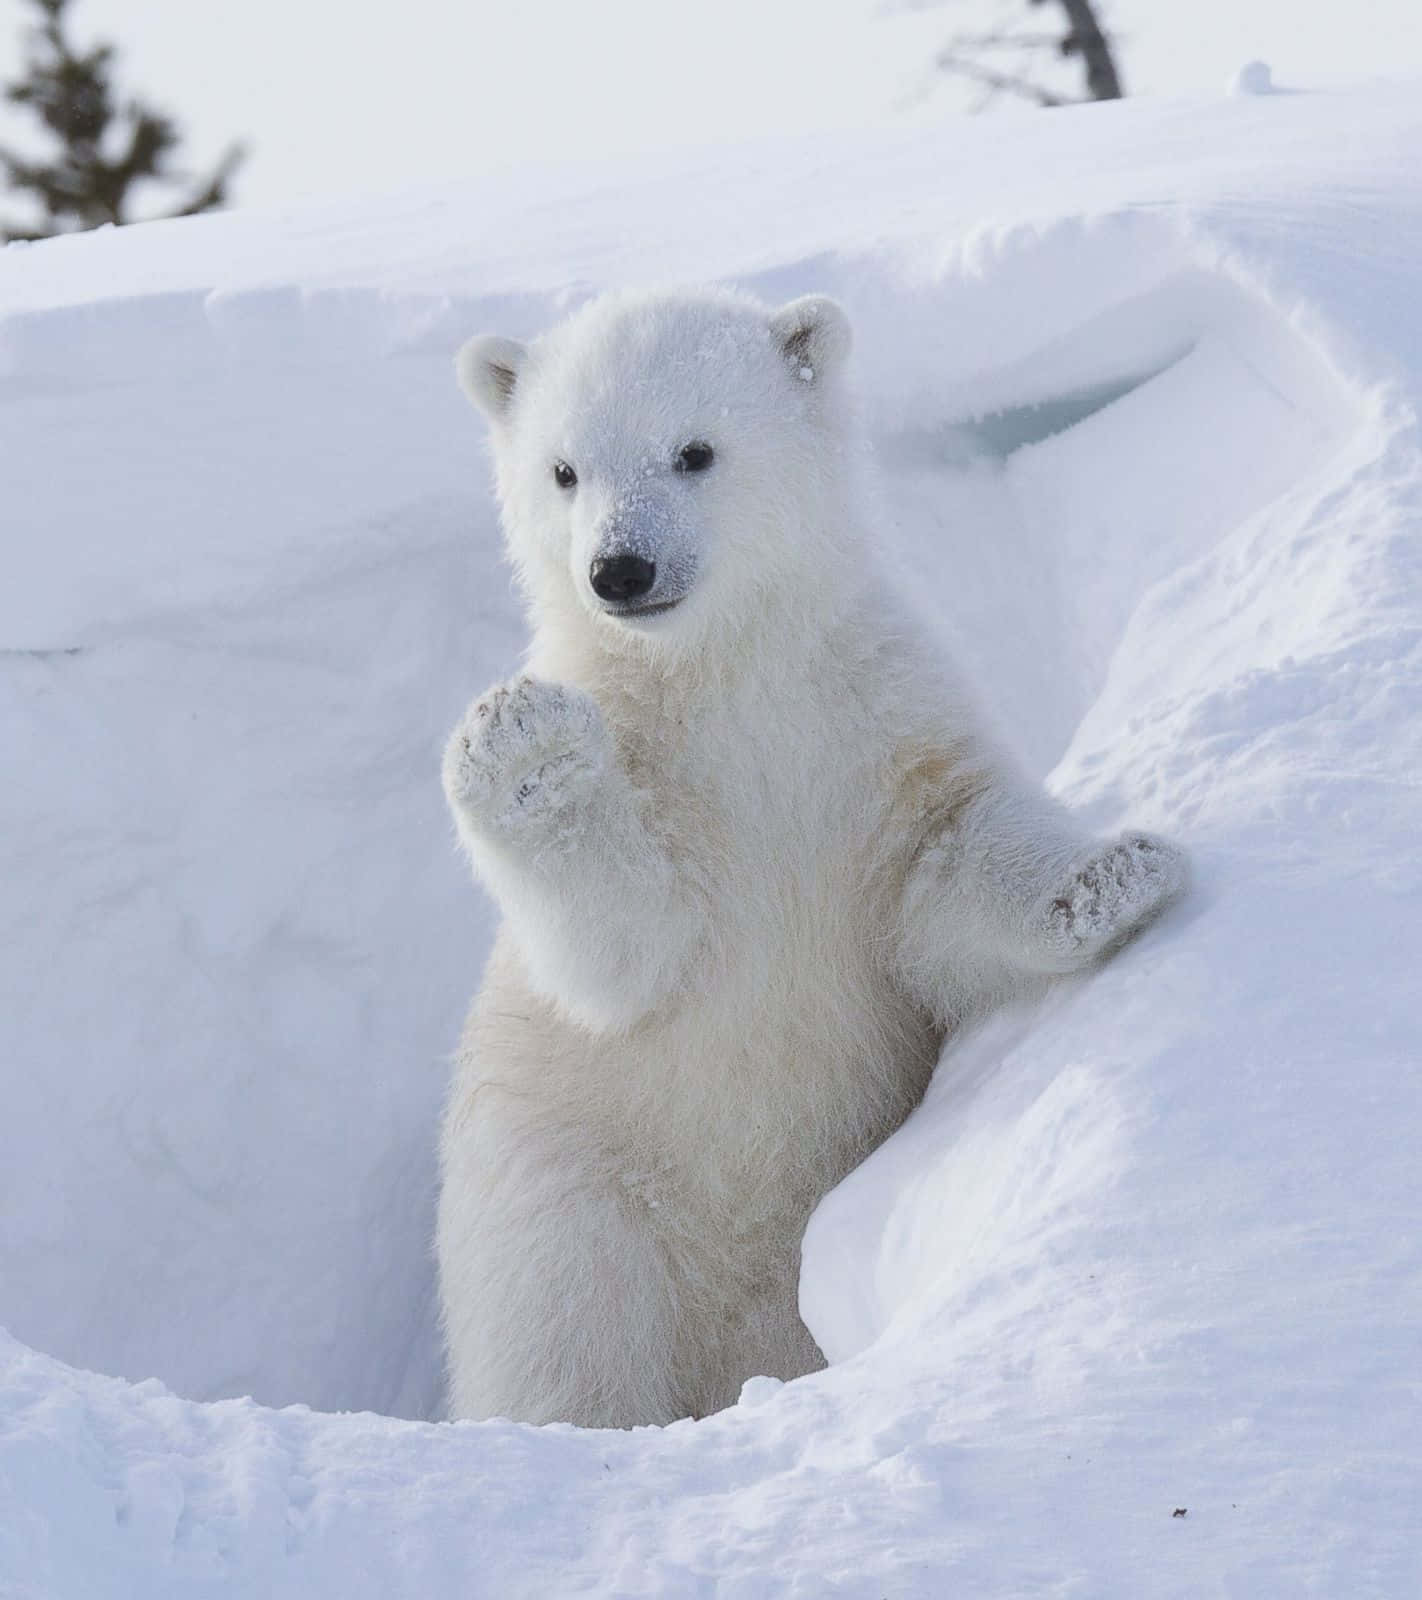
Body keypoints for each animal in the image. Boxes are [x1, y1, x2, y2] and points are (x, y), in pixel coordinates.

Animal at [436, 287, 1187, 1429]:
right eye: (562, 471)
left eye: (694, 450)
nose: (620, 569)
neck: (726, 678)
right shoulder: (659, 782)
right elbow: (624, 953)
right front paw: (525, 746)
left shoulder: (872, 723)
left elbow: (943, 865)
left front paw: (1114, 875)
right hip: (570, 1196)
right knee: (566, 1342)